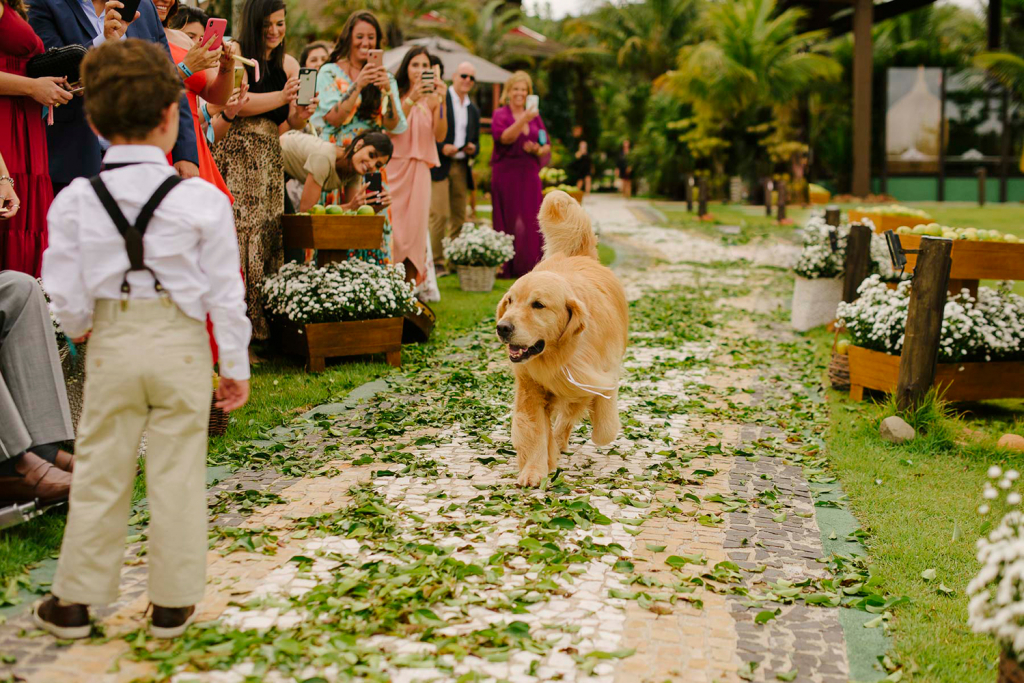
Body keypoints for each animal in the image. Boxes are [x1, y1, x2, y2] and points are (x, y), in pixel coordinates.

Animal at [497, 192, 630, 485]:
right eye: (510, 301)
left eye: (538, 305)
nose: (502, 327)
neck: (560, 354)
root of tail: (578, 255)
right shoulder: (531, 389)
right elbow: (535, 431)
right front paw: (535, 469)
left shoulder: (600, 377)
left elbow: (605, 427)